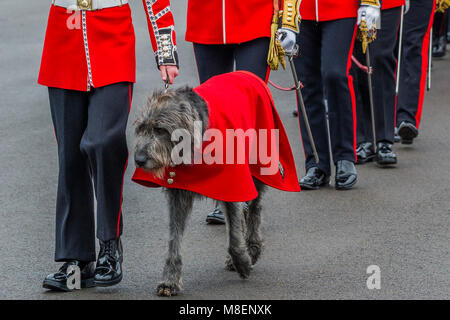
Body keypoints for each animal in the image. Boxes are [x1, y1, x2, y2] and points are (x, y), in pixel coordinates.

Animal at [134, 87, 268, 298]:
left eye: (160, 129)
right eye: (141, 128)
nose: (139, 160)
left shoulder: (231, 184)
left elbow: (233, 236)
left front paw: (243, 262)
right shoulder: (178, 195)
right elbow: (174, 239)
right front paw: (170, 281)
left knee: (255, 207)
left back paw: (252, 248)